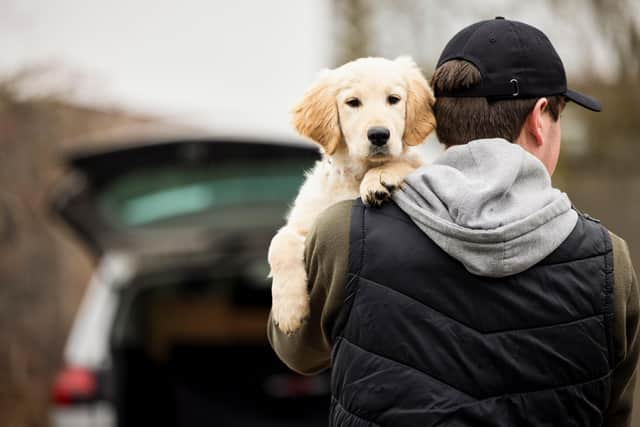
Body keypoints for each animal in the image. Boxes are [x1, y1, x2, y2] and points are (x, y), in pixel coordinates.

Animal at [264, 56, 436, 334]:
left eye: (393, 99)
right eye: (353, 102)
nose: (379, 135)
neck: (355, 176)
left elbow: (407, 163)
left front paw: (380, 177)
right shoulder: (306, 222)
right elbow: (279, 242)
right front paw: (289, 310)